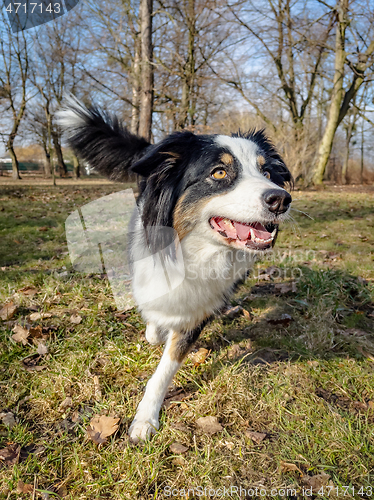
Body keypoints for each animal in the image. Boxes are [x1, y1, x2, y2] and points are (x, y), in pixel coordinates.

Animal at [58, 96, 292, 442]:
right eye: (219, 172)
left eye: (266, 172)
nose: (281, 199)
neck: (195, 252)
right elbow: (153, 311)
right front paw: (154, 332)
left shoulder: (198, 310)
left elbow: (165, 367)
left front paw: (145, 418)